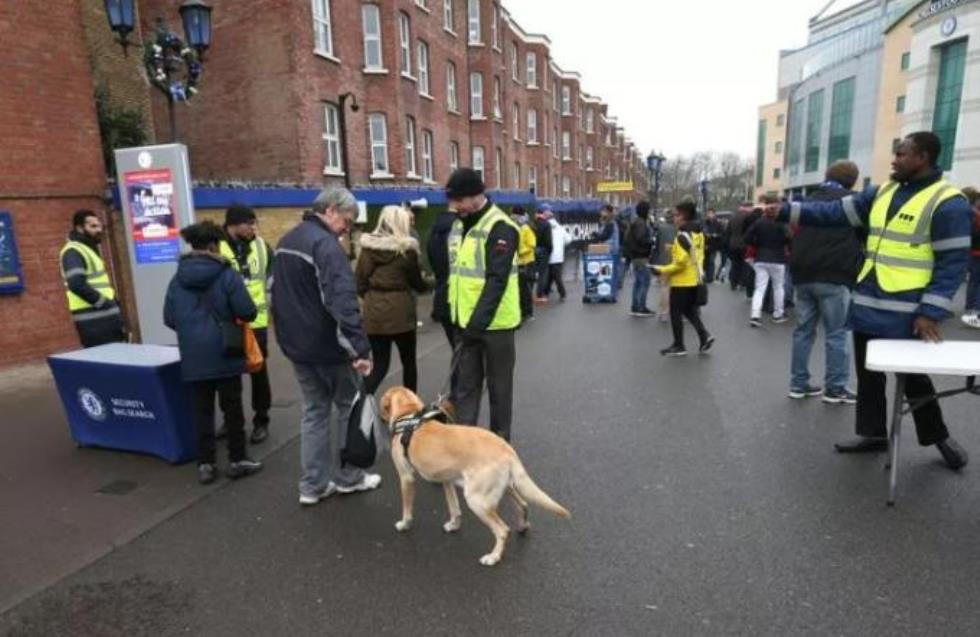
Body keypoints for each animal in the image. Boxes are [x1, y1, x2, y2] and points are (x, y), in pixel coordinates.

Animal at [378, 386, 572, 564]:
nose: (380, 418)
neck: (409, 415)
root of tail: (507, 450)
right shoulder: (447, 480)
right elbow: (454, 508)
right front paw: (454, 525)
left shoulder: (406, 477)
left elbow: (407, 508)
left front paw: (404, 524)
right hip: (503, 487)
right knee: (523, 504)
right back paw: (523, 526)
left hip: (477, 500)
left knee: (503, 530)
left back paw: (493, 557)